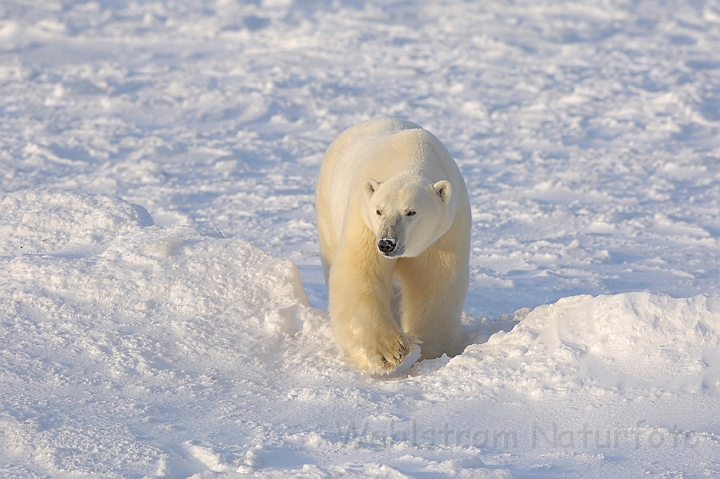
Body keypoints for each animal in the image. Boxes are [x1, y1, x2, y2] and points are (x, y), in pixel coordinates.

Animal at [316, 119, 472, 376]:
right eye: (379, 210)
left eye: (411, 212)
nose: (387, 244)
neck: (410, 157)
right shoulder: (364, 221)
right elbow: (360, 272)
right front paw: (391, 352)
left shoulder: (445, 232)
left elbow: (434, 282)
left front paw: (425, 351)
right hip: (328, 208)